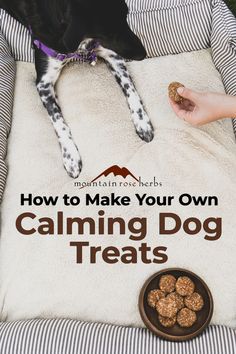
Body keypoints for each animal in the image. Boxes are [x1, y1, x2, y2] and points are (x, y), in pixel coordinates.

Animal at [0, 0, 154, 177]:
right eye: (108, 33)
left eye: (126, 17)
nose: (143, 54)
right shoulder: (43, 83)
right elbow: (58, 120)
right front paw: (70, 156)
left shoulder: (112, 55)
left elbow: (130, 89)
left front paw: (142, 122)